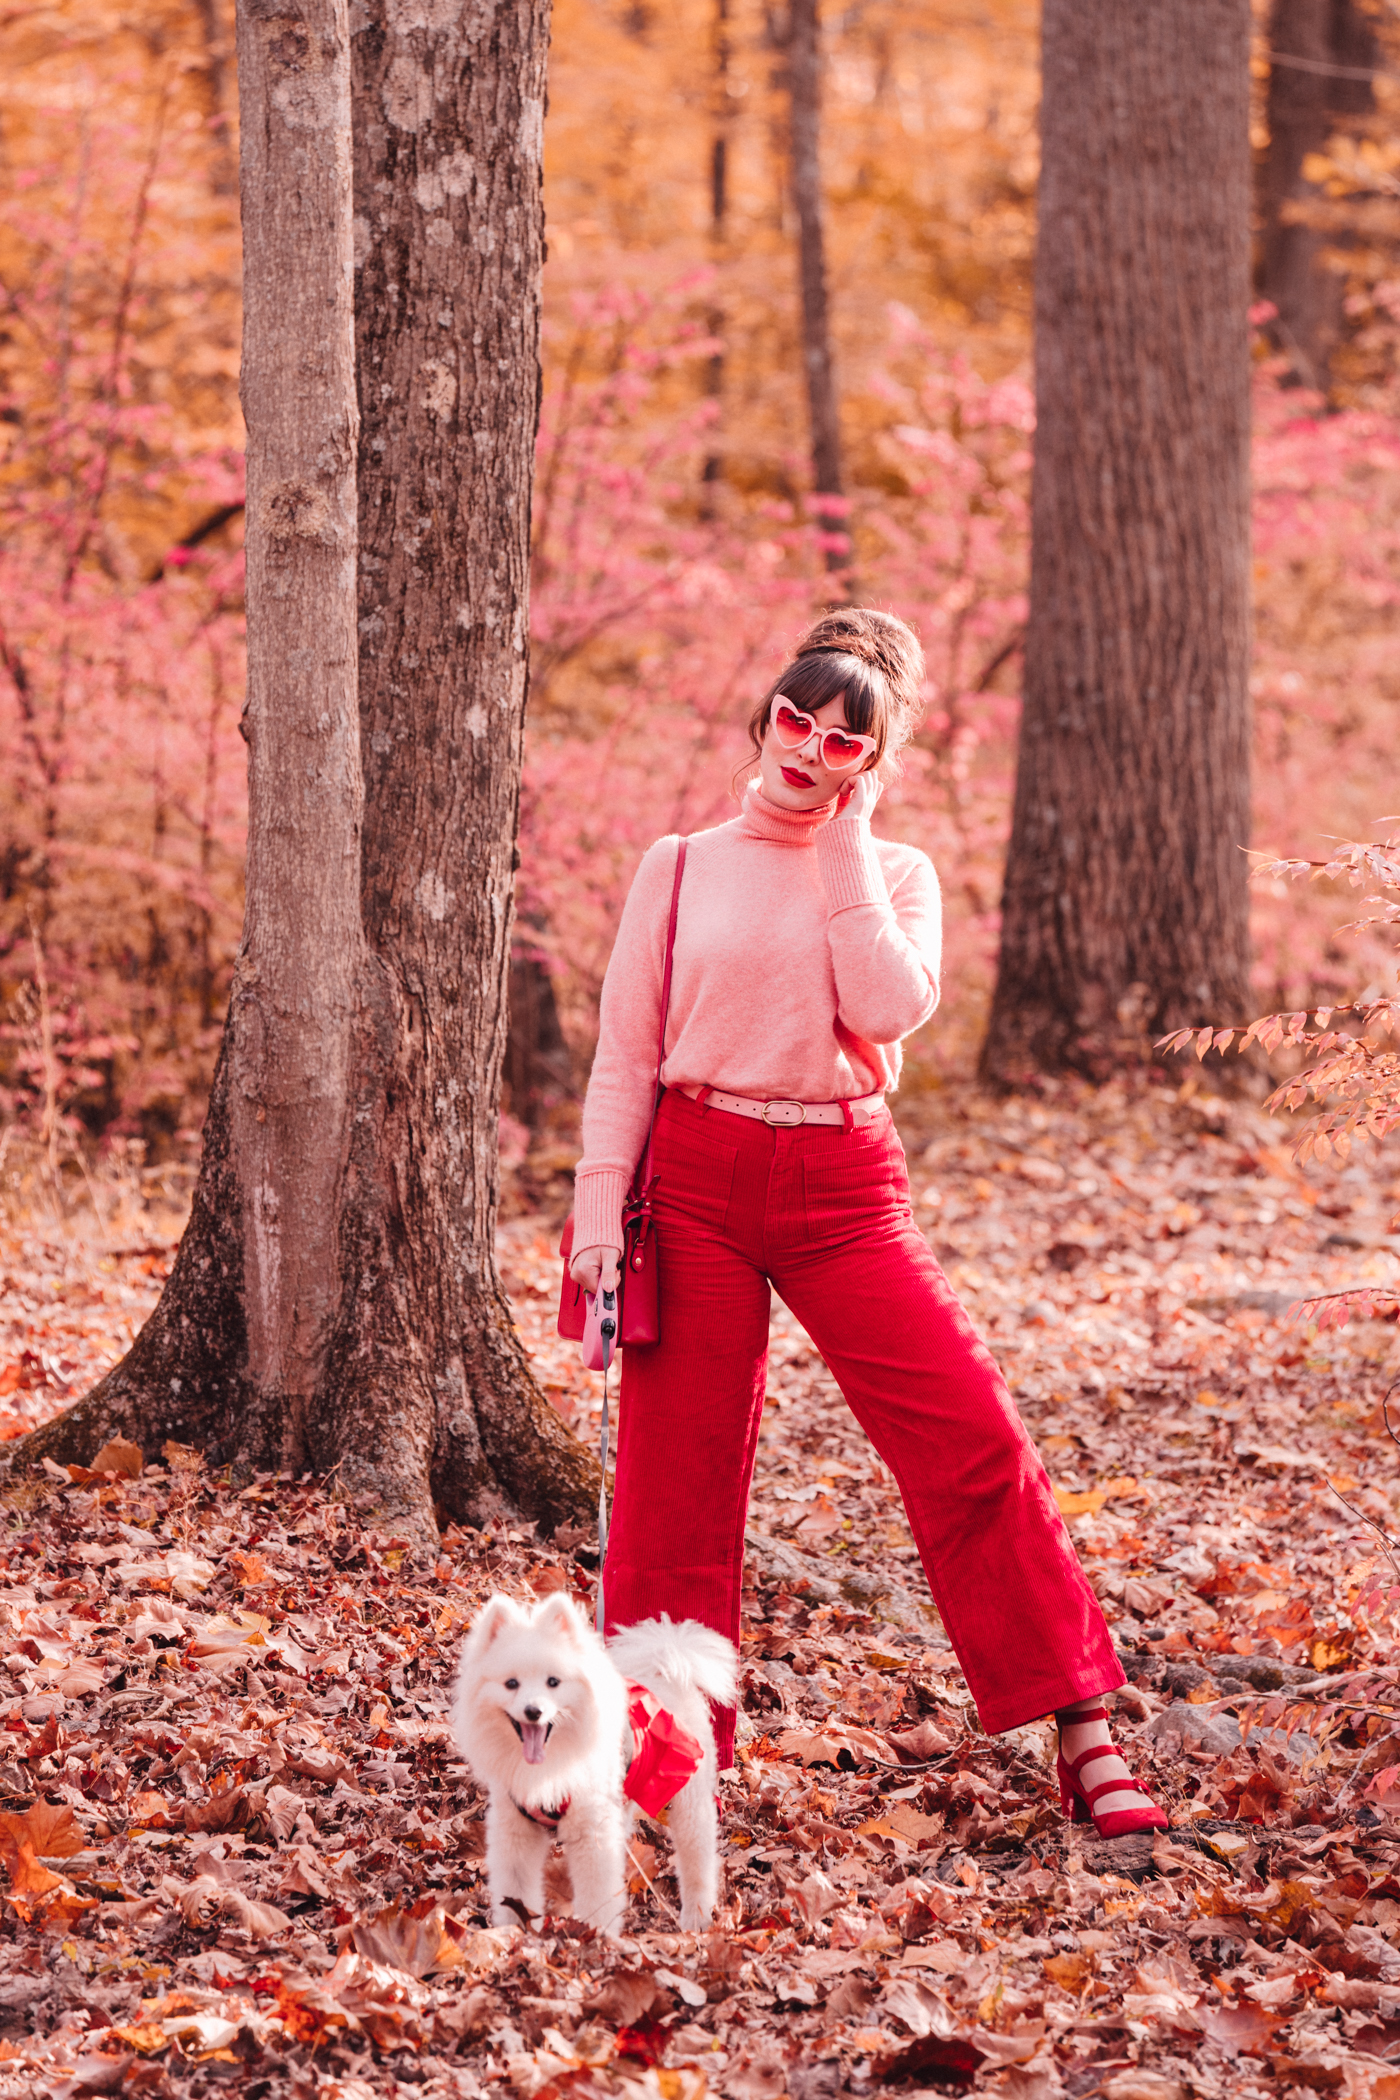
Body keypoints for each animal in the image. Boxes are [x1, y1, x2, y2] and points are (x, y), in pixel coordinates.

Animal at [455, 1587, 738, 1931]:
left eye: (553, 1682)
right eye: (511, 1684)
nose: (533, 1711)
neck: (548, 1765)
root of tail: (669, 1665)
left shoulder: (591, 1832)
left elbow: (596, 1896)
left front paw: (596, 1936)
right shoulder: (516, 1830)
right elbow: (516, 1891)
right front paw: (514, 1933)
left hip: (689, 1797)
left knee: (698, 1855)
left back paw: (696, 1916)